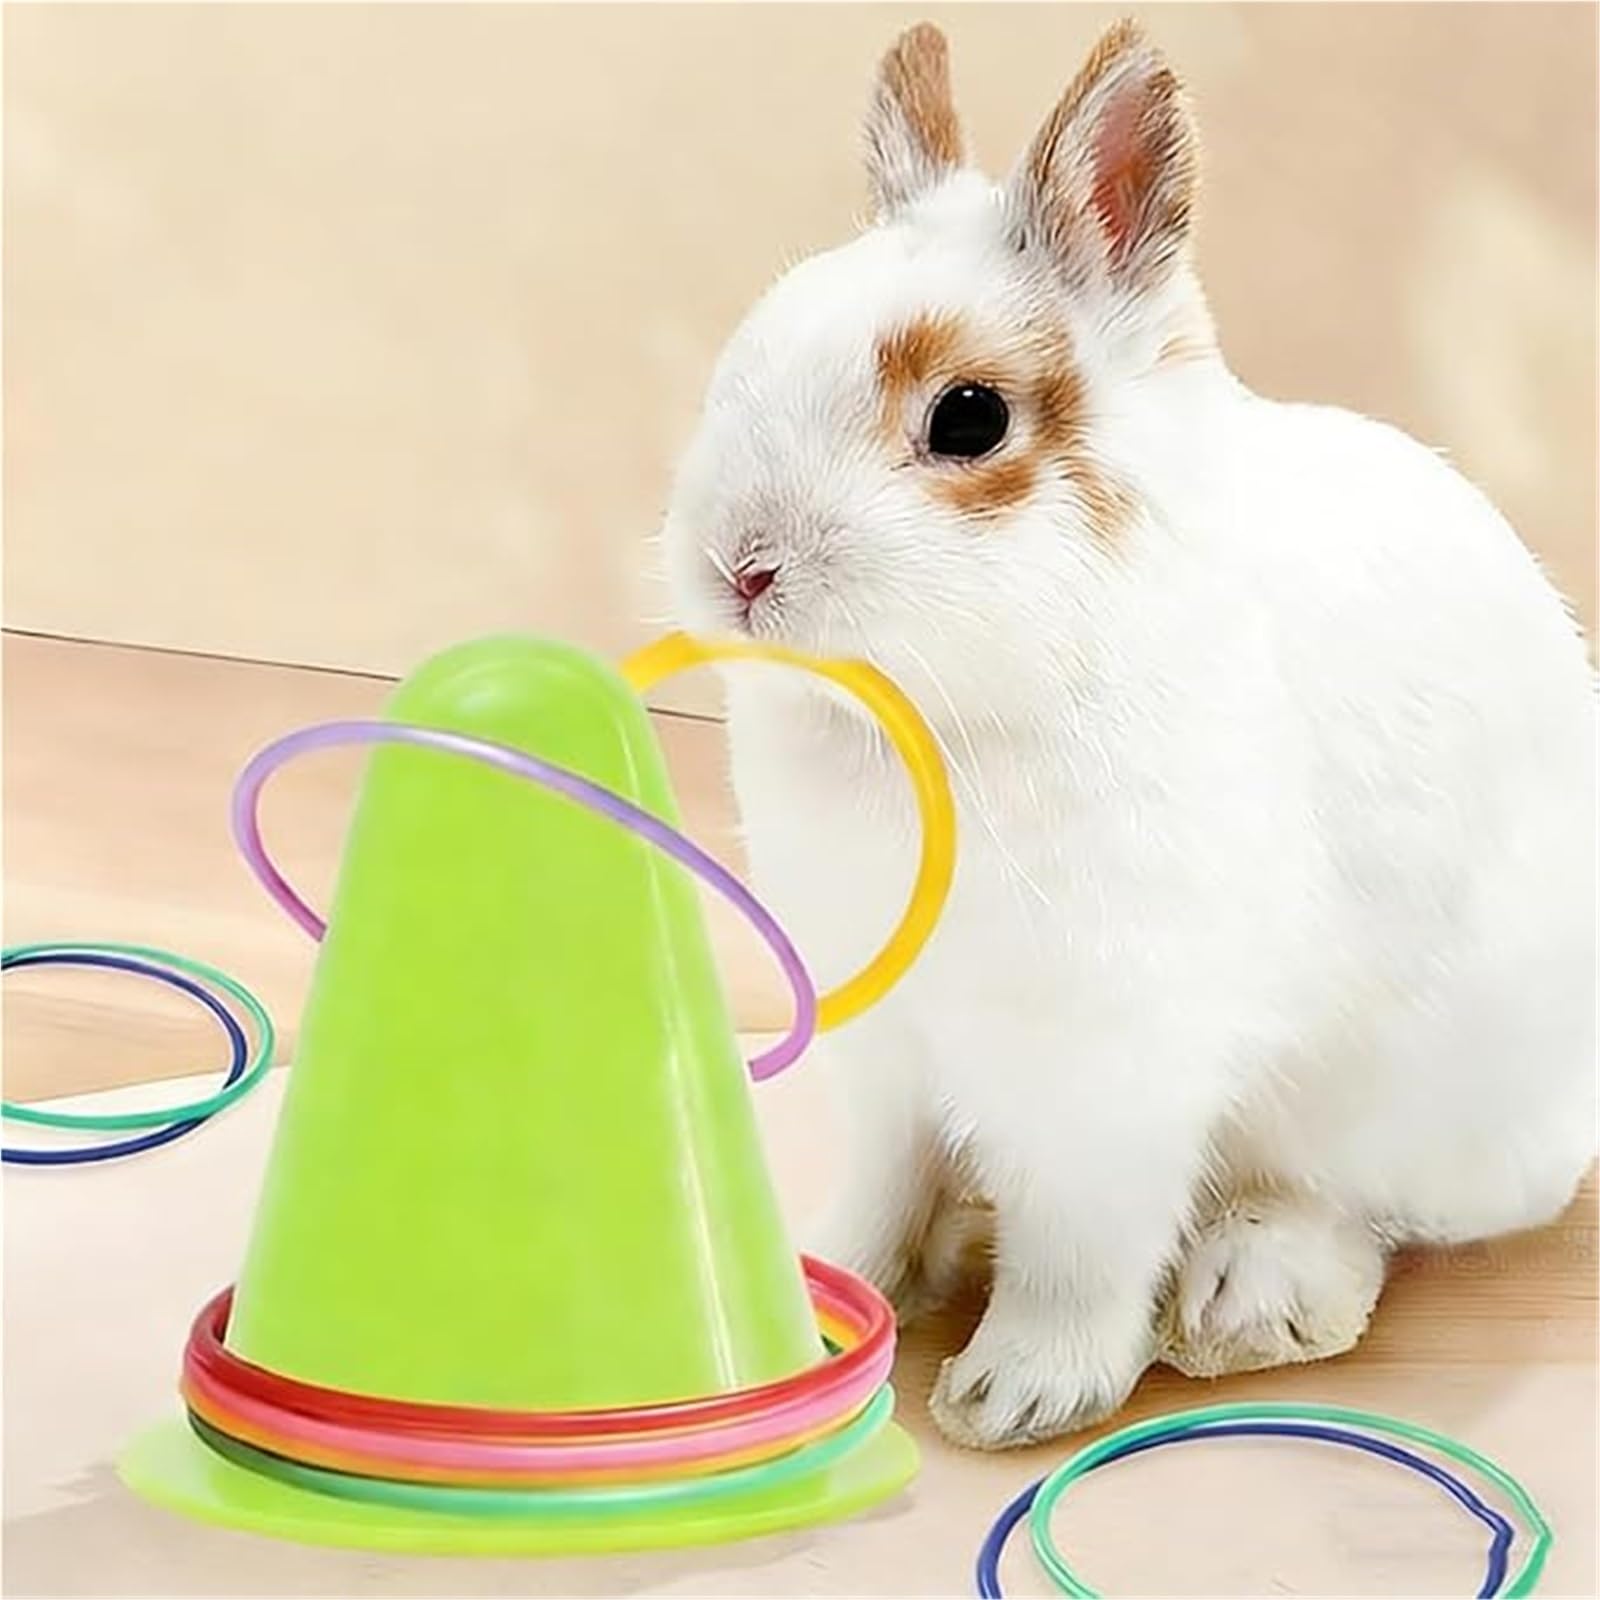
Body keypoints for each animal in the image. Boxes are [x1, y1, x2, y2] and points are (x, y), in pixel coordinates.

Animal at [660, 18, 1598, 1449]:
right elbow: (881, 1184)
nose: (738, 567)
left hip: (1422, 1105)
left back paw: (1244, 1300)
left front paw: (1011, 1395)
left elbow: (1078, 1246)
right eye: (747, 355)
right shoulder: (884, 1049)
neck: (942, 719)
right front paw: (831, 1287)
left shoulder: (1106, 1070)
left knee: (1366, 1211)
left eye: (969, 418)